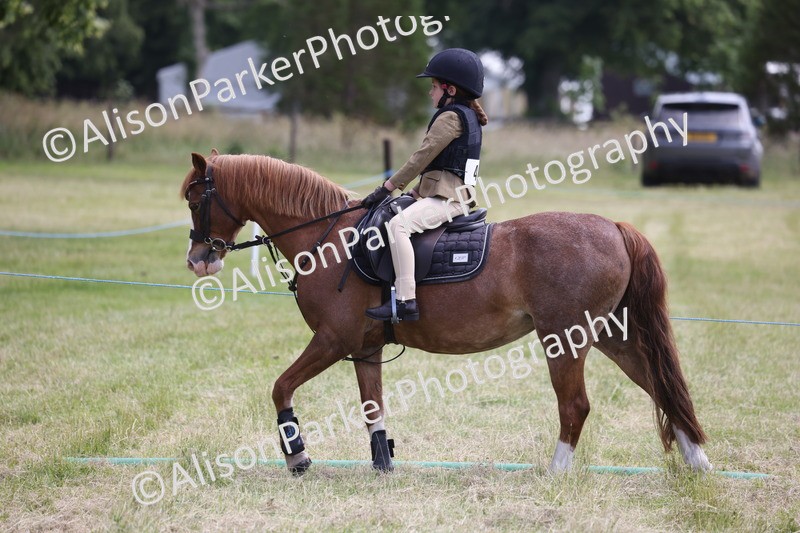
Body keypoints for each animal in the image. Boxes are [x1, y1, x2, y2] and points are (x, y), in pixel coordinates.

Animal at [181, 149, 712, 475]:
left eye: (194, 198)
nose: (198, 260)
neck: (330, 237)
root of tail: (614, 227)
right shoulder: (365, 350)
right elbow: (373, 408)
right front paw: (383, 465)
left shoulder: (332, 341)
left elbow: (281, 388)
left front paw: (297, 457)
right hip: (609, 335)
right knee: (660, 385)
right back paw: (699, 464)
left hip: (566, 339)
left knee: (576, 406)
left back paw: (557, 472)